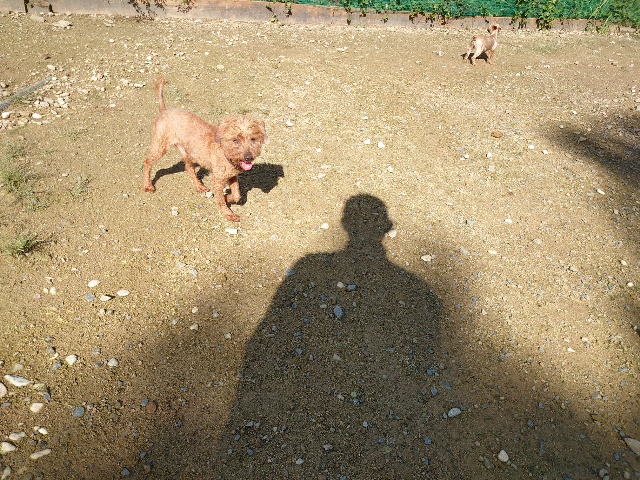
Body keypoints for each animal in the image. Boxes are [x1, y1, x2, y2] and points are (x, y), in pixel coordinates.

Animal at [141, 77, 268, 222]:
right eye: (235, 140)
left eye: (253, 139)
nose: (248, 157)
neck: (225, 154)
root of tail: (164, 110)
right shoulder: (218, 180)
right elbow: (221, 200)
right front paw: (228, 213)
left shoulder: (232, 176)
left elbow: (237, 195)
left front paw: (228, 197)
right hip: (161, 145)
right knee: (147, 162)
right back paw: (147, 186)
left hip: (186, 151)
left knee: (189, 168)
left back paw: (199, 186)